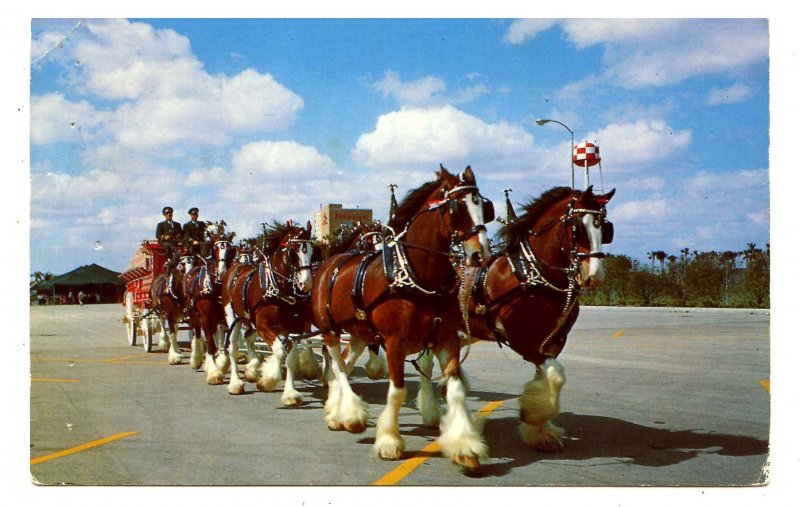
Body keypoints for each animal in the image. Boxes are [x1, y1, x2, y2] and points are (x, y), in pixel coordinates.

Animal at [222, 222, 318, 404]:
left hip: (251, 321)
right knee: (232, 347)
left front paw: (290, 393)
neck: (277, 286)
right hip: (234, 318)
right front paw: (268, 380)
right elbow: (280, 351)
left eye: (312, 250)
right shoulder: (264, 326)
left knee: (248, 338)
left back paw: (251, 369)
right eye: (293, 252)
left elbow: (290, 359)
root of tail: (234, 268)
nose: (306, 283)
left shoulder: (294, 328)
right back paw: (235, 384)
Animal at [310, 165, 494, 474]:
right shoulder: (394, 344)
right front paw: (389, 443)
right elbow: (396, 392)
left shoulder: (446, 340)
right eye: (457, 208)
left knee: (344, 364)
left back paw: (337, 413)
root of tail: (328, 263)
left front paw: (465, 447)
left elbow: (455, 389)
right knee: (338, 365)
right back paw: (352, 415)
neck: (416, 276)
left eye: (484, 206)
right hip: (329, 330)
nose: (481, 254)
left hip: (359, 333)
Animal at [416, 186, 616, 452]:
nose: (595, 275)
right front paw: (534, 416)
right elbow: (555, 375)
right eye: (576, 228)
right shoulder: (522, 340)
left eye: (605, 228)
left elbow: (546, 377)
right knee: (426, 365)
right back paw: (433, 413)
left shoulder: (553, 341)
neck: (532, 274)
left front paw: (540, 430)